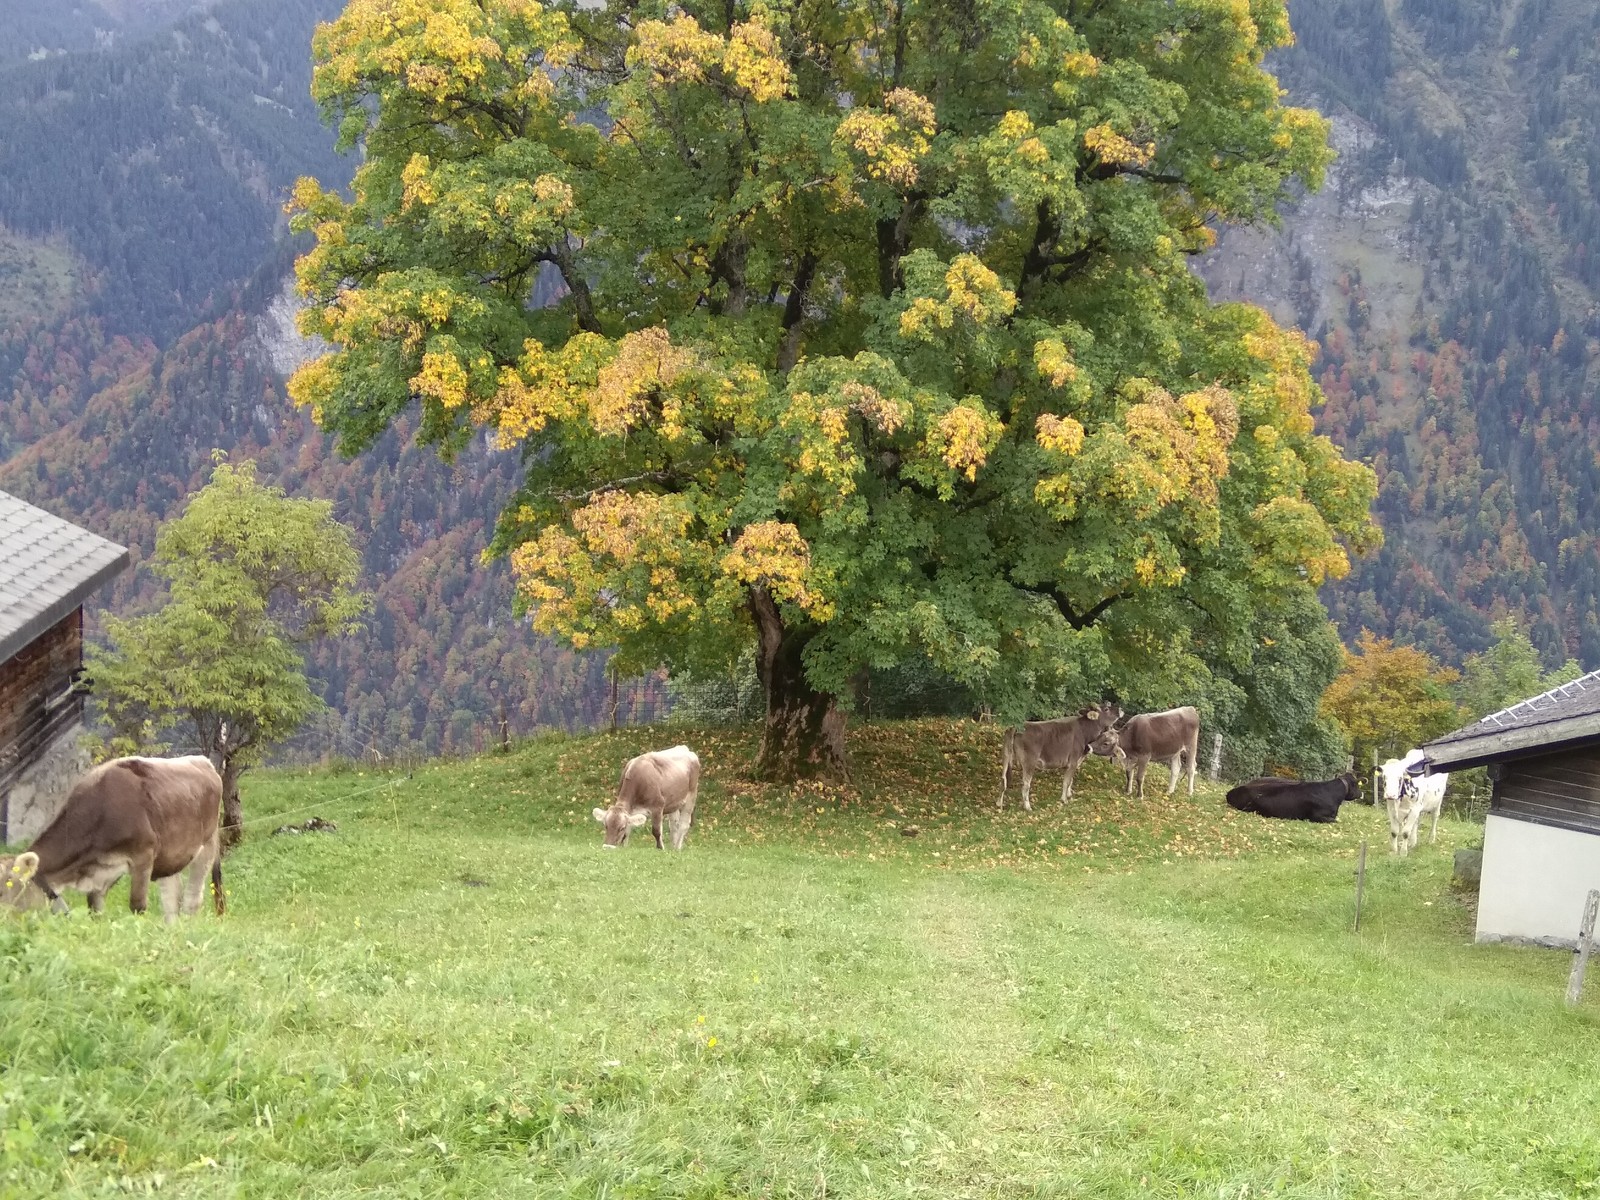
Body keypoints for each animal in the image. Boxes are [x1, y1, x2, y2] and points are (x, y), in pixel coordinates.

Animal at [0, 755, 222, 928]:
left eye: (4, 889)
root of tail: (204, 761)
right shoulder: (102, 869)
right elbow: (95, 910)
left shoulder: (143, 856)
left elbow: (137, 906)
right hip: (169, 856)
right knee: (172, 899)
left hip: (206, 845)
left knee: (192, 899)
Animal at [992, 704, 1120, 819]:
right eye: (1106, 708)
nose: (1120, 709)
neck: (1084, 731)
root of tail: (1015, 727)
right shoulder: (1073, 761)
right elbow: (1066, 781)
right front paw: (1064, 799)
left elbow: (1070, 779)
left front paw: (1069, 795)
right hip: (1029, 762)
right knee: (1025, 785)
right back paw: (1028, 807)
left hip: (1006, 757)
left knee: (1003, 780)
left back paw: (999, 803)